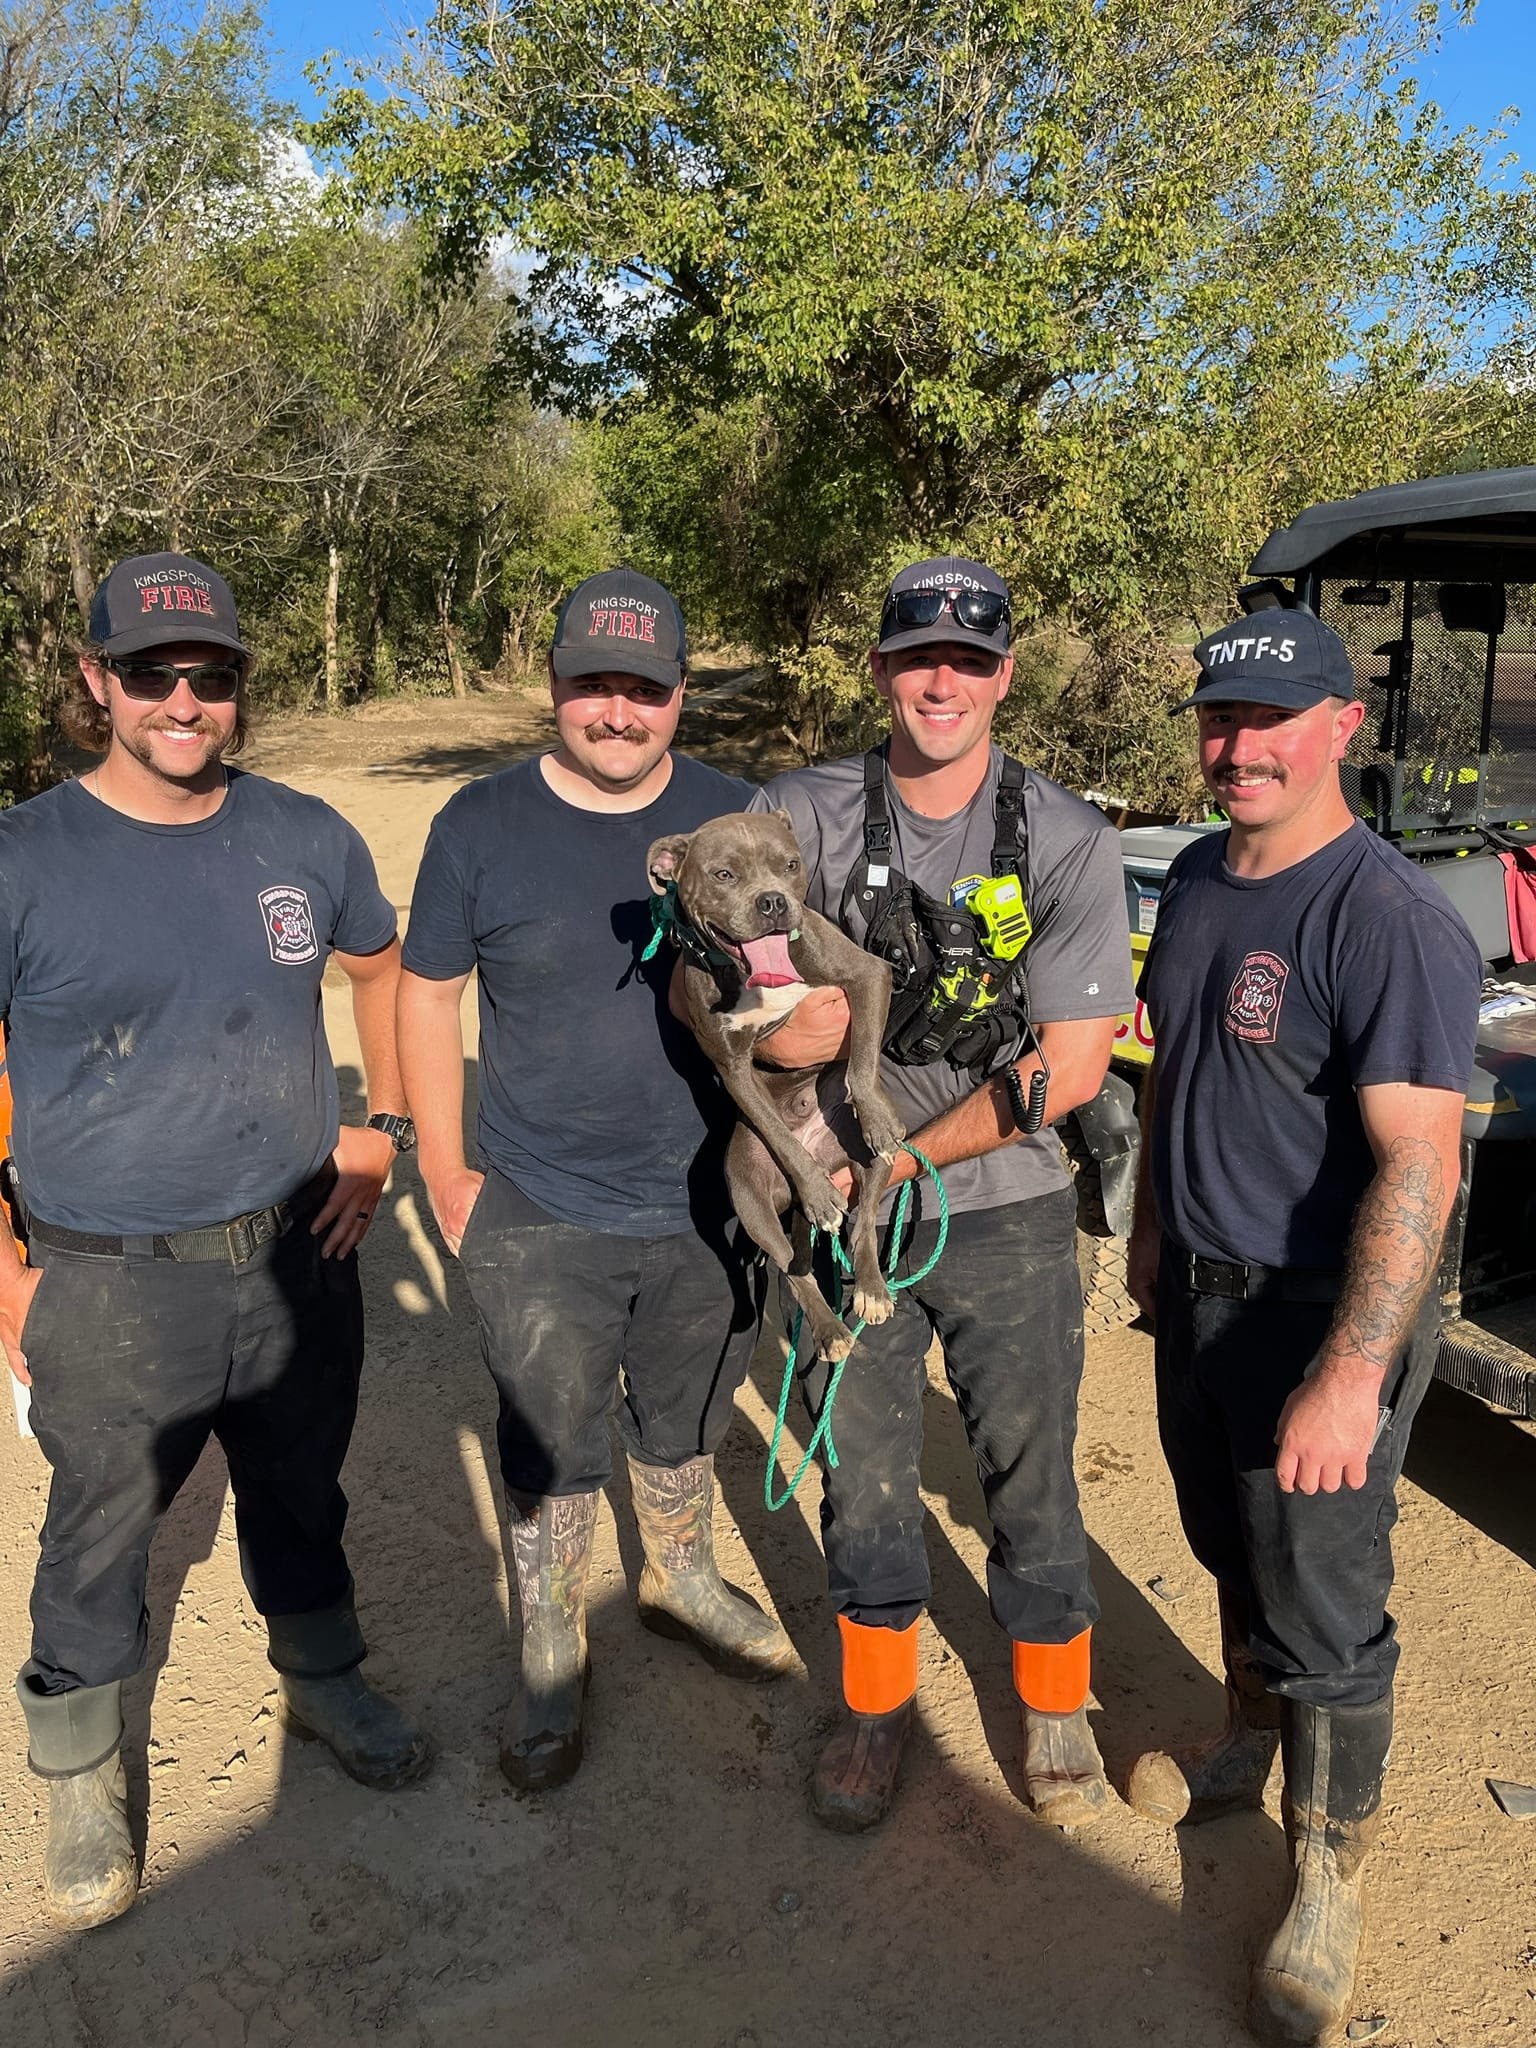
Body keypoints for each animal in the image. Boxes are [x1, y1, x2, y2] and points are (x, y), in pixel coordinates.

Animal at [651, 811, 913, 1359]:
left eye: (790, 865)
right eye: (724, 874)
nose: (772, 901)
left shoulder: (868, 974)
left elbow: (860, 1063)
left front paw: (875, 1113)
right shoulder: (731, 1064)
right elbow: (777, 1131)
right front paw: (818, 1193)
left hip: (874, 1160)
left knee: (864, 1225)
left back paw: (874, 1291)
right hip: (749, 1196)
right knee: (793, 1268)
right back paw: (831, 1330)